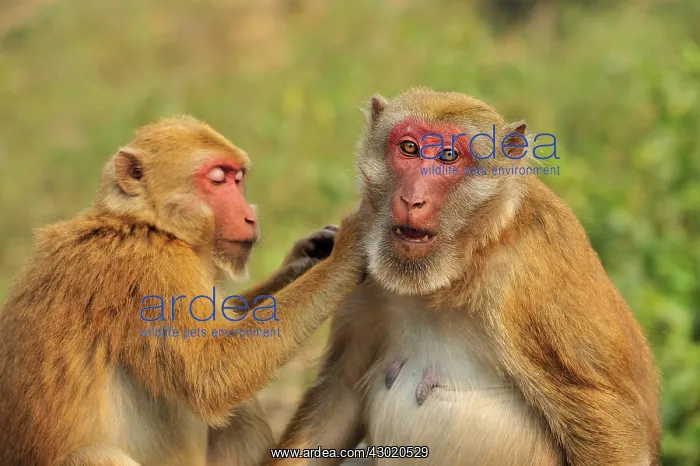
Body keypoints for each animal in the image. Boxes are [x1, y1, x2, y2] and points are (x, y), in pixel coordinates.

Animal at [0, 115, 365, 466]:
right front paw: (349, 248)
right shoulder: (151, 270)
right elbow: (213, 376)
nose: (249, 216)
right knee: (94, 455)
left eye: (238, 179)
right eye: (216, 179)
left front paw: (305, 257)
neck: (148, 224)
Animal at [269, 88, 661, 466]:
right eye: (408, 148)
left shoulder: (531, 278)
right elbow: (340, 397)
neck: (455, 272)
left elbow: (608, 420)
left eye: (448, 157)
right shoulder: (368, 273)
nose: (412, 199)